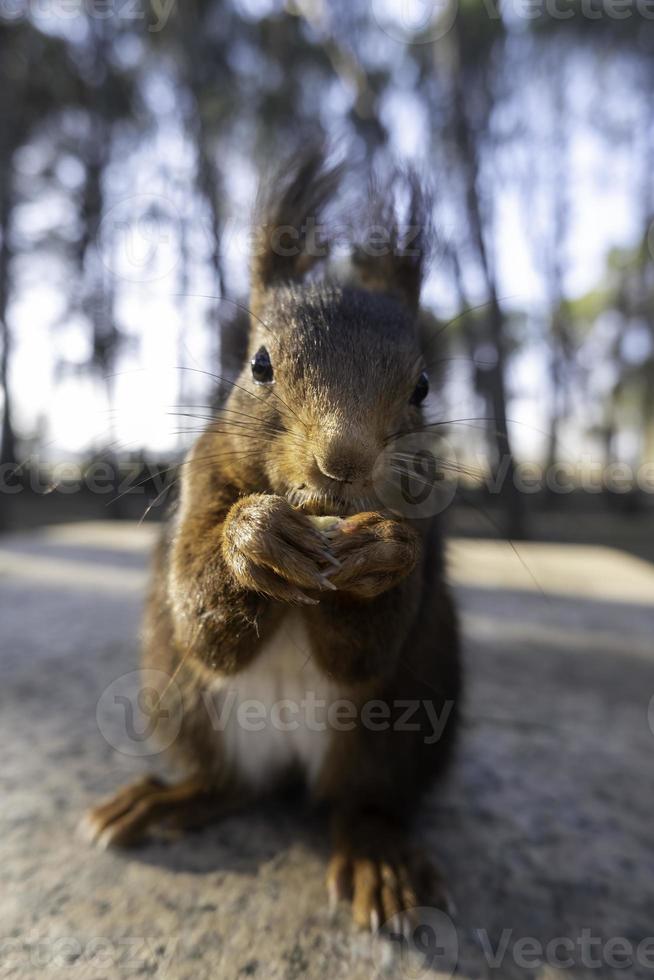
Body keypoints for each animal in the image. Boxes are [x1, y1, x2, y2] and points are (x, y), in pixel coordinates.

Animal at [84, 149, 464, 932]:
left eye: (422, 386)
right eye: (259, 365)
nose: (343, 461)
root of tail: (292, 766)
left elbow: (366, 650)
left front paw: (380, 553)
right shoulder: (200, 482)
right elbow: (206, 621)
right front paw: (252, 538)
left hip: (399, 727)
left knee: (364, 803)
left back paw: (378, 861)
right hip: (185, 703)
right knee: (228, 784)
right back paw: (161, 802)